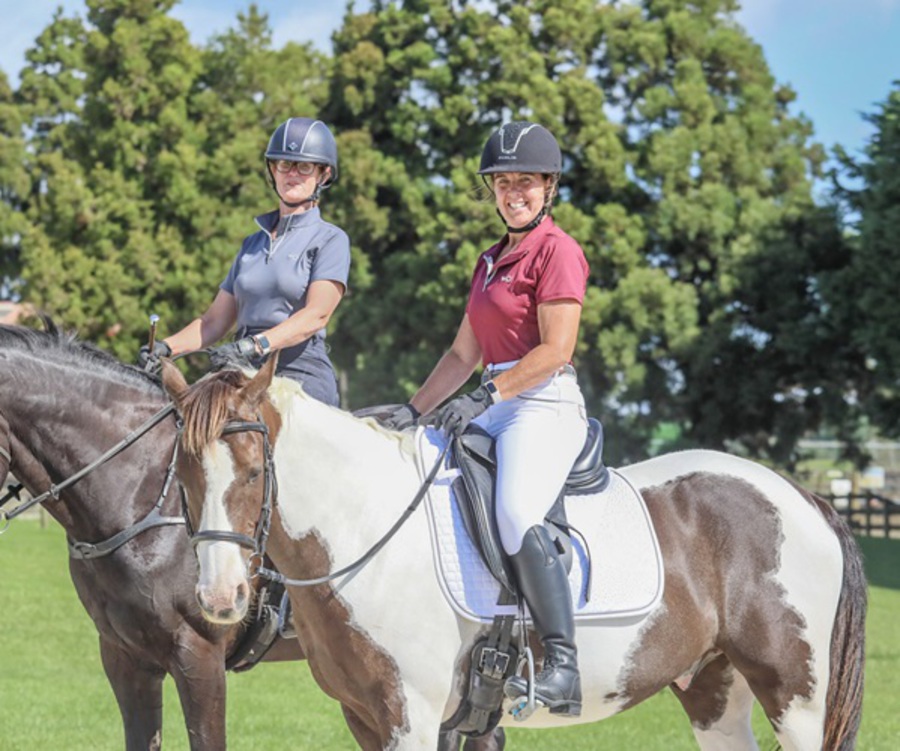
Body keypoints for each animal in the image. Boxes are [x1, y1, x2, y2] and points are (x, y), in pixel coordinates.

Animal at [165, 358, 868, 751]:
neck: (366, 527)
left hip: (795, 698)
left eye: (255, 471)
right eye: (186, 472)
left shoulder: (411, 719)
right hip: (714, 691)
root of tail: (804, 496)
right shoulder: (366, 718)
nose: (219, 598)